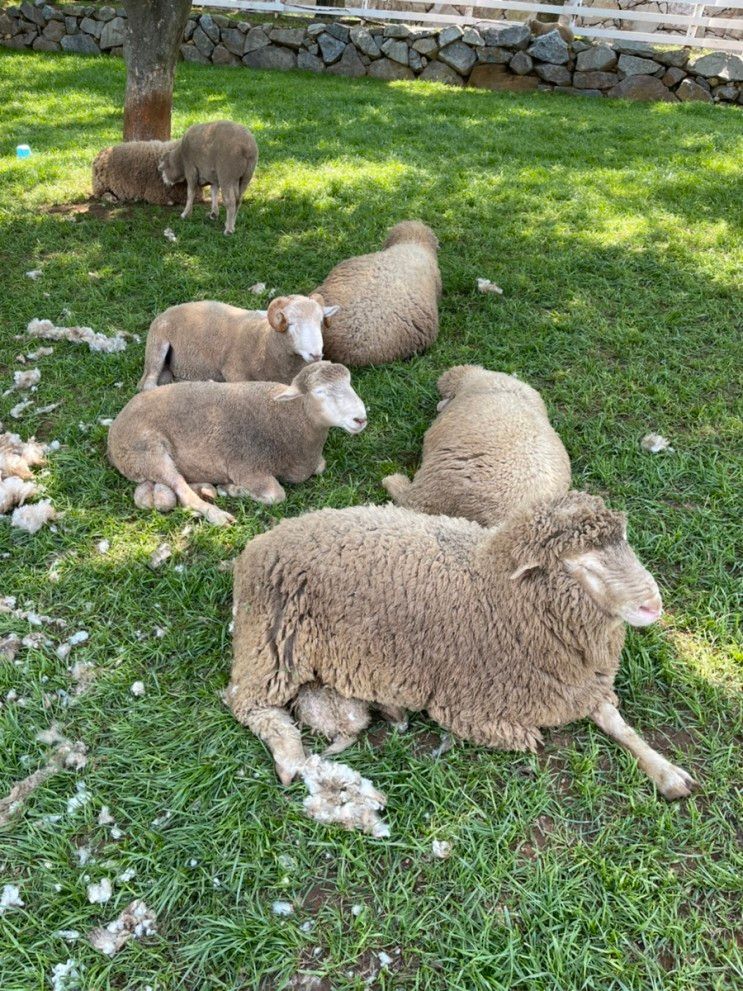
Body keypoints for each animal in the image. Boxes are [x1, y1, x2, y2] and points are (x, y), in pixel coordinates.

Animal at [106, 358, 368, 528]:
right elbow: (276, 495)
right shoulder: (246, 467)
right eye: (320, 392)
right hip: (147, 452)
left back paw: (206, 488)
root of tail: (115, 429)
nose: (361, 418)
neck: (289, 419)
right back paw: (218, 514)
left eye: (350, 383)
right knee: (181, 490)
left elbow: (321, 467)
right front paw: (233, 489)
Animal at [137, 290, 340, 392]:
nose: (316, 354)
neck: (263, 341)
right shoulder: (232, 370)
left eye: (320, 321)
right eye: (290, 323)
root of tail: (168, 310)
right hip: (157, 346)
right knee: (148, 385)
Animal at [230, 494, 696, 828]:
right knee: (247, 704)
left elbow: (618, 724)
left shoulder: (578, 684)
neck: (499, 591)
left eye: (625, 542)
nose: (654, 606)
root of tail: (262, 540)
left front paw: (667, 772)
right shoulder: (473, 709)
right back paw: (291, 757)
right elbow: (533, 737)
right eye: (582, 564)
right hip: (269, 643)